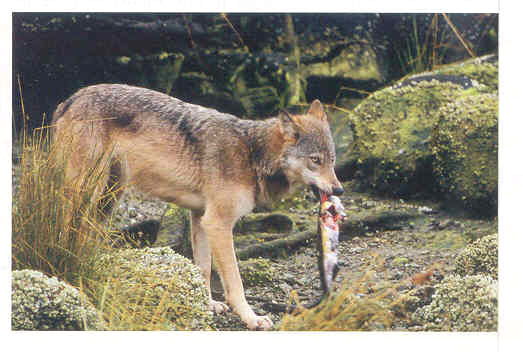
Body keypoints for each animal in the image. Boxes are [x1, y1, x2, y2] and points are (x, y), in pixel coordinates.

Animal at [52, 83, 344, 330]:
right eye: (315, 160)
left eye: (332, 160)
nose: (339, 190)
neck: (251, 154)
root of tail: (71, 99)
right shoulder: (218, 223)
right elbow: (235, 282)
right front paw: (251, 318)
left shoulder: (201, 218)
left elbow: (202, 268)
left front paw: (206, 304)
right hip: (85, 192)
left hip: (108, 199)